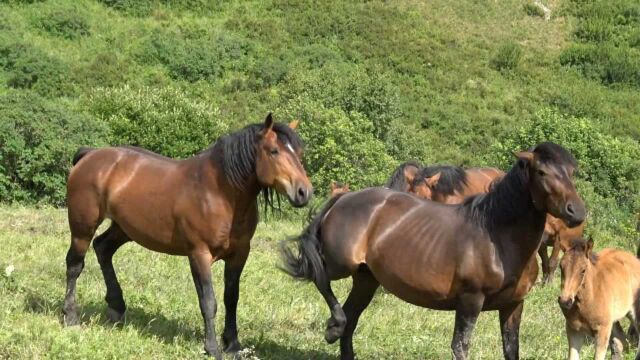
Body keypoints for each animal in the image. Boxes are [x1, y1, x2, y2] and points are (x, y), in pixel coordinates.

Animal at [63, 114, 314, 358]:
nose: (304, 192)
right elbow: (209, 301)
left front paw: (233, 344)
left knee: (103, 248)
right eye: (274, 151)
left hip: (124, 228)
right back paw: (71, 316)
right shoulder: (199, 254)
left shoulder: (240, 254)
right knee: (75, 264)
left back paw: (116, 307)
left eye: (299, 153)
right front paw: (212, 348)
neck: (219, 192)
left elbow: (231, 298)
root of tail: (90, 155)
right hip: (83, 228)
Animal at [280, 142, 584, 360]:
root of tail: (344, 198)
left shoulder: (513, 305)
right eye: (542, 172)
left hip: (366, 279)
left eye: (572, 172)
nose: (577, 212)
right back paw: (333, 326)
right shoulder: (470, 301)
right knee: (321, 279)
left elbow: (511, 350)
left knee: (351, 319)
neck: (498, 238)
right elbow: (460, 347)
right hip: (341, 264)